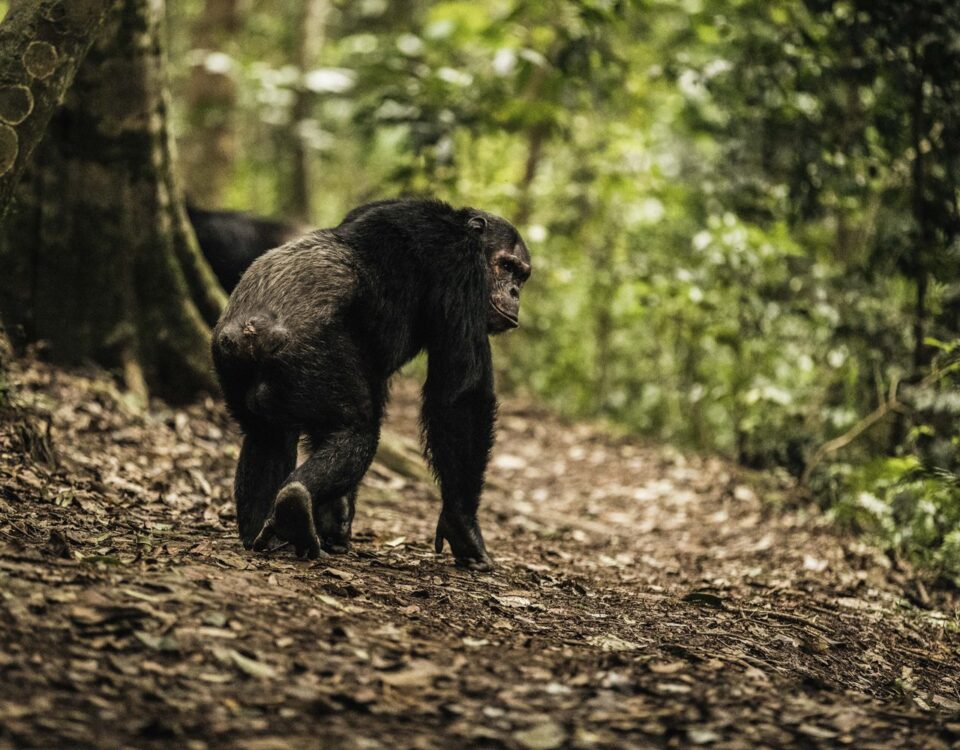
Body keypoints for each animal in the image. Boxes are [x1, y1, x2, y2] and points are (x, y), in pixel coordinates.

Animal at [211, 199, 532, 570]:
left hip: (231, 365)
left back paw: (267, 534)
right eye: (506, 266)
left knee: (267, 436)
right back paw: (295, 504)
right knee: (357, 431)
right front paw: (463, 527)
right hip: (313, 356)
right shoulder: (461, 269)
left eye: (521, 275)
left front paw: (337, 517)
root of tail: (252, 328)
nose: (514, 292)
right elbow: (461, 395)